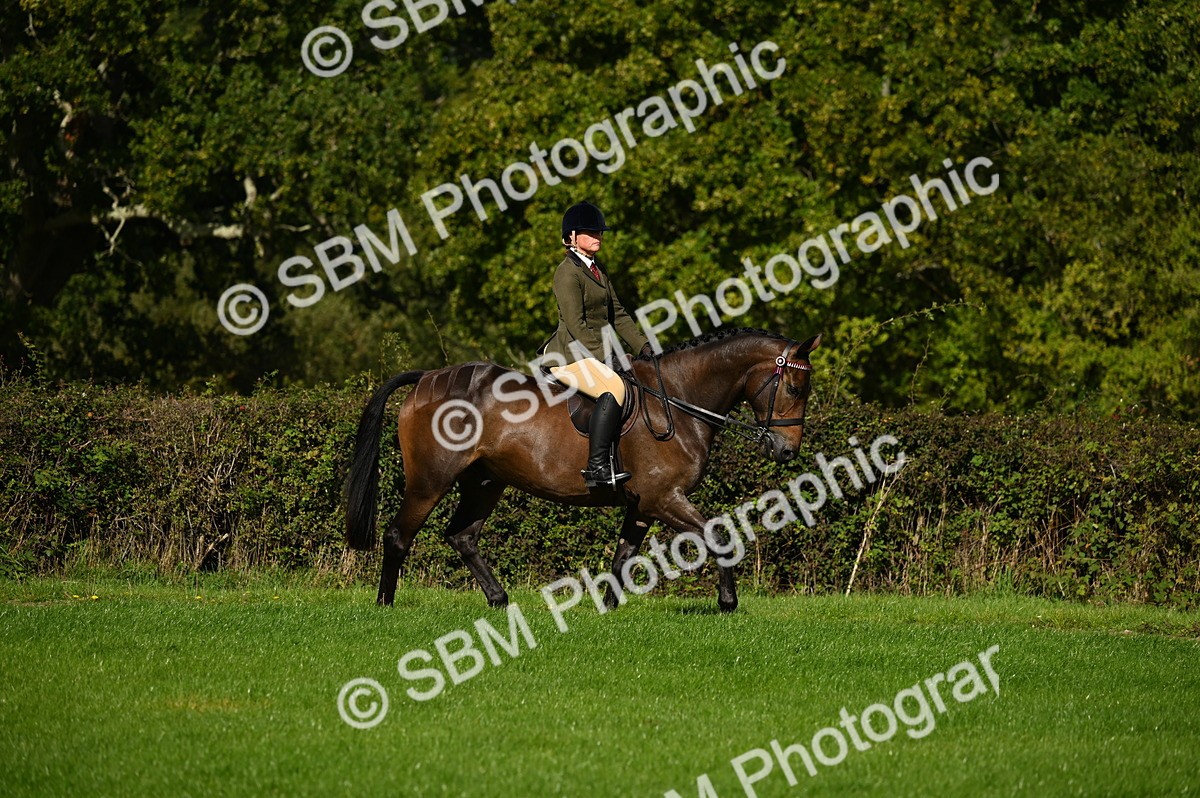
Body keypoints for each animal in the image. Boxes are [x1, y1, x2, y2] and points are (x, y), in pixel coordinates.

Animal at [345, 328, 820, 612]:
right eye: (795, 388)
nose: (787, 451)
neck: (678, 400)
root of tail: (428, 378)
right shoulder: (665, 498)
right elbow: (717, 536)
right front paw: (727, 601)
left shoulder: (643, 504)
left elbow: (623, 556)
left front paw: (606, 609)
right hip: (430, 481)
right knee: (399, 535)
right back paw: (385, 604)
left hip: (485, 482)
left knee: (462, 536)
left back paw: (500, 600)